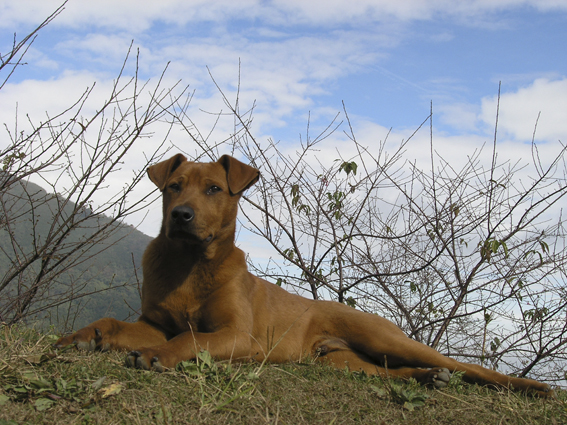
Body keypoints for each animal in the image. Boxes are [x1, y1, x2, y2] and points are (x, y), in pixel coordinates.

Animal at [55, 154, 552, 396]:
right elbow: (116, 322)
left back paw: (530, 388)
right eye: (174, 187)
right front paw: (83, 336)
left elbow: (194, 339)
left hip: (383, 337)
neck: (191, 265)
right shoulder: (155, 322)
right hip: (343, 362)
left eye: (214, 188)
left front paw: (162, 356)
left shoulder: (240, 336)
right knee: (390, 373)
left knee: (464, 365)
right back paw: (427, 381)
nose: (181, 216)